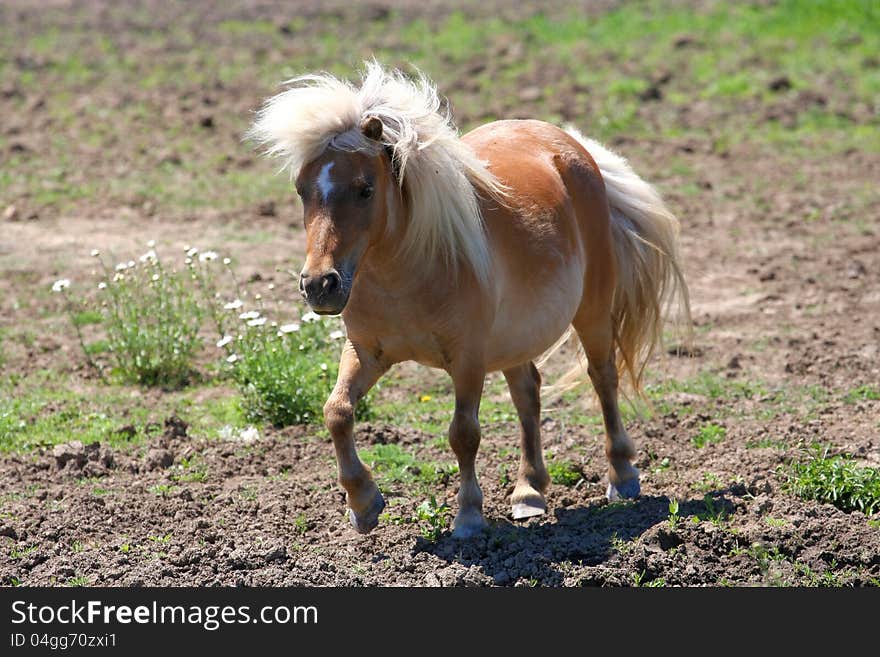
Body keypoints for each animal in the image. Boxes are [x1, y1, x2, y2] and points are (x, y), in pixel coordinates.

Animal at [248, 61, 688, 536]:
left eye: (365, 189)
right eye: (301, 190)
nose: (319, 285)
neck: (405, 273)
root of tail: (573, 146)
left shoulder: (468, 358)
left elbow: (463, 433)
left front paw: (469, 516)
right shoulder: (366, 351)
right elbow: (337, 412)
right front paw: (363, 503)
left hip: (592, 309)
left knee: (602, 376)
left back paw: (621, 477)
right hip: (517, 334)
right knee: (528, 393)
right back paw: (529, 491)